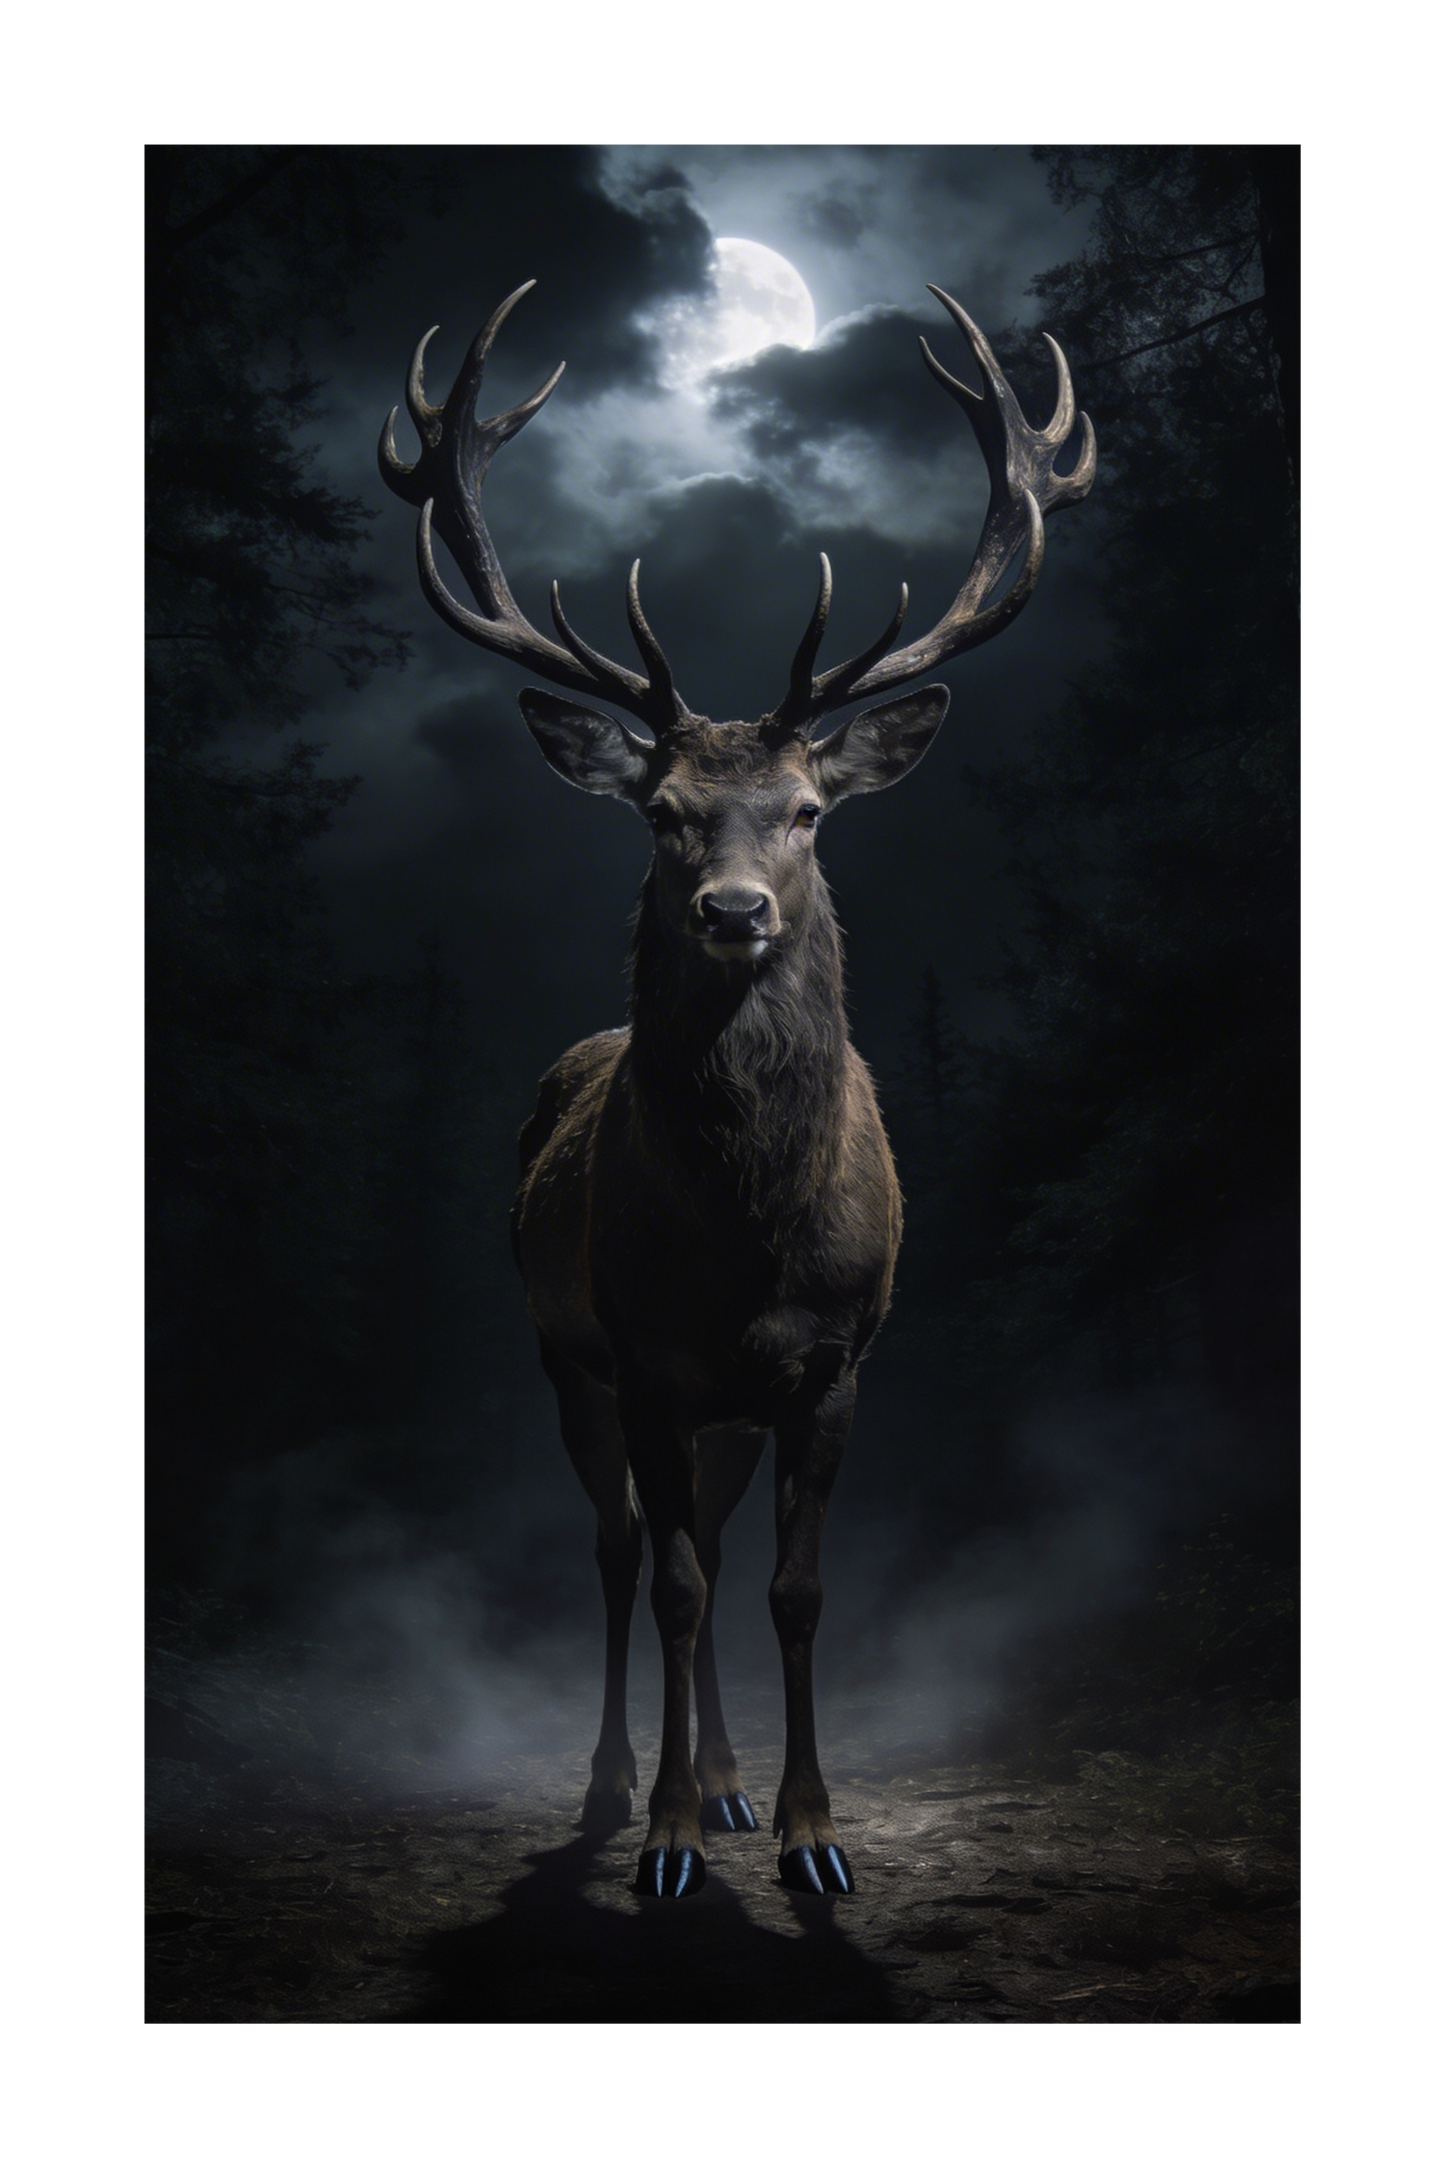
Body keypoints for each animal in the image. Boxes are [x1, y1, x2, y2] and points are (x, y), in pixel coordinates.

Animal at [381, 280, 1094, 1896]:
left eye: (811, 809)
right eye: (659, 811)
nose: (731, 910)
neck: (747, 1237)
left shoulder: (834, 1362)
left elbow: (794, 1589)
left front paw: (810, 1831)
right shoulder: (641, 1354)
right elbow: (680, 1587)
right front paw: (657, 1840)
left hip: (724, 1404)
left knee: (696, 1533)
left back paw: (722, 1785)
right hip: (565, 1359)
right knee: (622, 1550)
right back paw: (627, 1787)